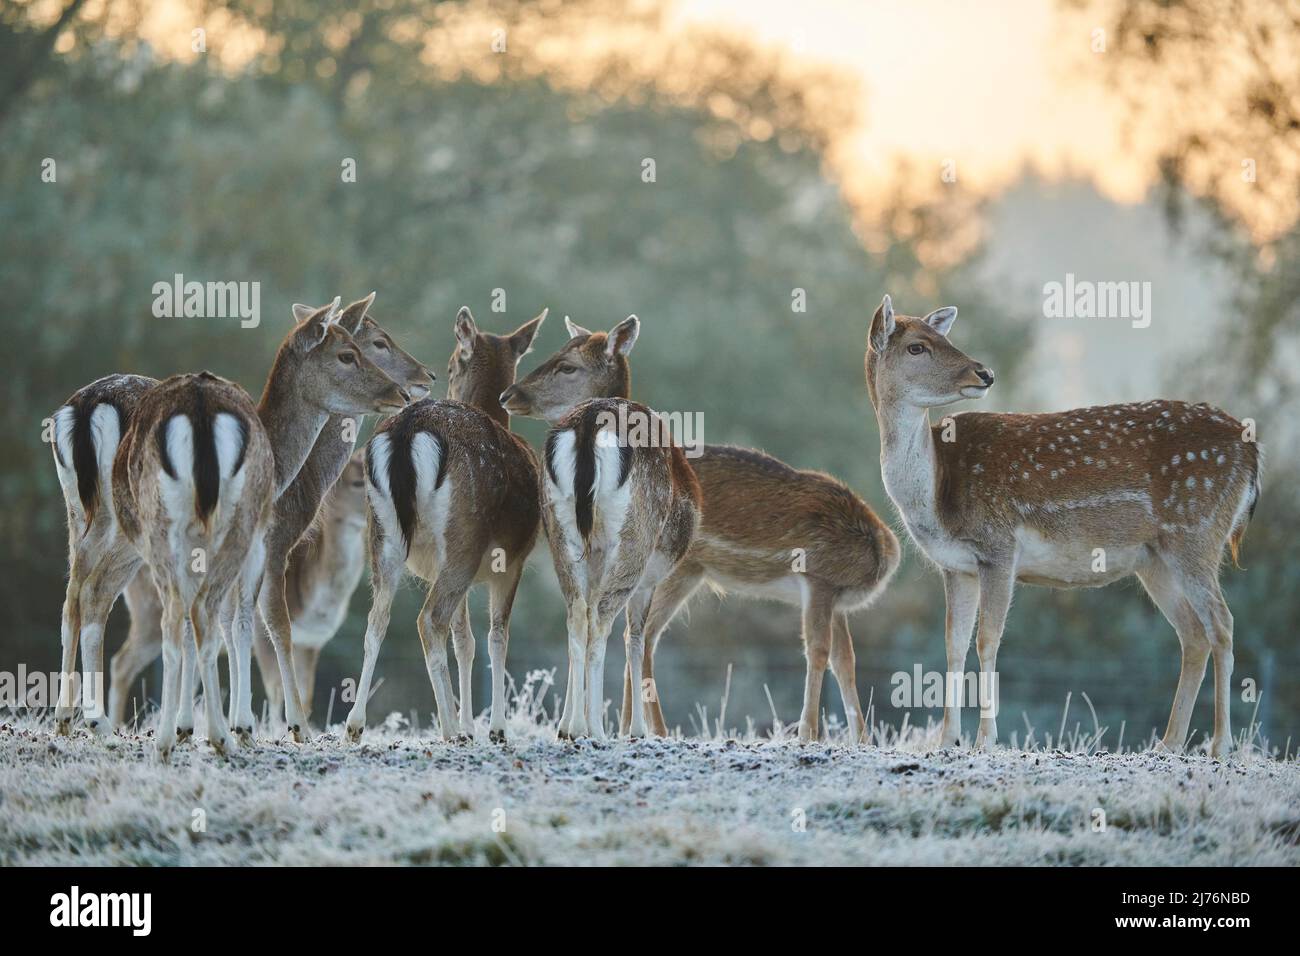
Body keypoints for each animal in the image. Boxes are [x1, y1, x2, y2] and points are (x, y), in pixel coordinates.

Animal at [343, 310, 546, 743]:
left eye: (451, 366)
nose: (440, 376)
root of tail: (408, 429)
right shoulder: (512, 561)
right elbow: (496, 636)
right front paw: (495, 729)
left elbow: (464, 640)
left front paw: (473, 724)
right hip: (463, 539)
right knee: (428, 619)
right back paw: (450, 728)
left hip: (383, 536)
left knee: (377, 620)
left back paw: (355, 724)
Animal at [501, 317, 899, 743]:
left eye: (566, 365)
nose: (509, 394)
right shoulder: (820, 578)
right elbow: (819, 652)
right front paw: (809, 734)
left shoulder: (830, 594)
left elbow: (845, 659)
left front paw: (861, 739)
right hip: (652, 552)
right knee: (621, 626)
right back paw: (617, 727)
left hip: (568, 537)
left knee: (582, 614)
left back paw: (581, 726)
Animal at [863, 295, 1258, 759]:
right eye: (917, 347)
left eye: (944, 338)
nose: (984, 373)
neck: (937, 496)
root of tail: (1252, 451)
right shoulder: (957, 566)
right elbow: (953, 645)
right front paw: (947, 740)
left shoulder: (999, 545)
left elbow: (988, 639)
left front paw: (985, 740)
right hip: (1156, 558)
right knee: (1193, 633)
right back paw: (1167, 743)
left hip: (1197, 531)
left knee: (1222, 624)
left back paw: (1220, 744)